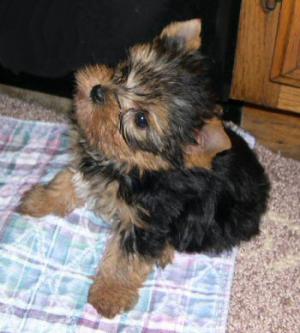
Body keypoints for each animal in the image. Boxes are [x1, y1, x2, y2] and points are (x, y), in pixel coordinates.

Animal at [18, 20, 270, 316]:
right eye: (126, 70)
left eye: (141, 119)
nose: (97, 91)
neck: (131, 164)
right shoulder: (91, 170)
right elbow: (68, 181)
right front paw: (39, 200)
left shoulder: (147, 217)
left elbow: (127, 257)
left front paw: (109, 294)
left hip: (223, 221)